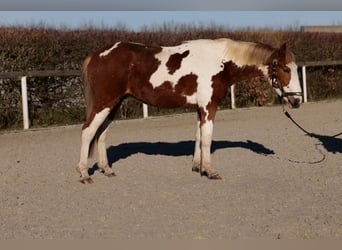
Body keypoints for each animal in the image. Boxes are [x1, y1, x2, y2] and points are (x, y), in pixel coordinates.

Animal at [77, 38, 302, 184]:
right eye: (286, 69)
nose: (297, 100)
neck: (221, 62)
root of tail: (96, 55)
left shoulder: (200, 108)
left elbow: (198, 137)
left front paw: (198, 167)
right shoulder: (209, 107)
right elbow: (207, 138)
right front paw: (210, 171)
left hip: (114, 104)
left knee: (101, 134)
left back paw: (107, 170)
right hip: (104, 103)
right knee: (88, 131)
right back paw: (85, 174)